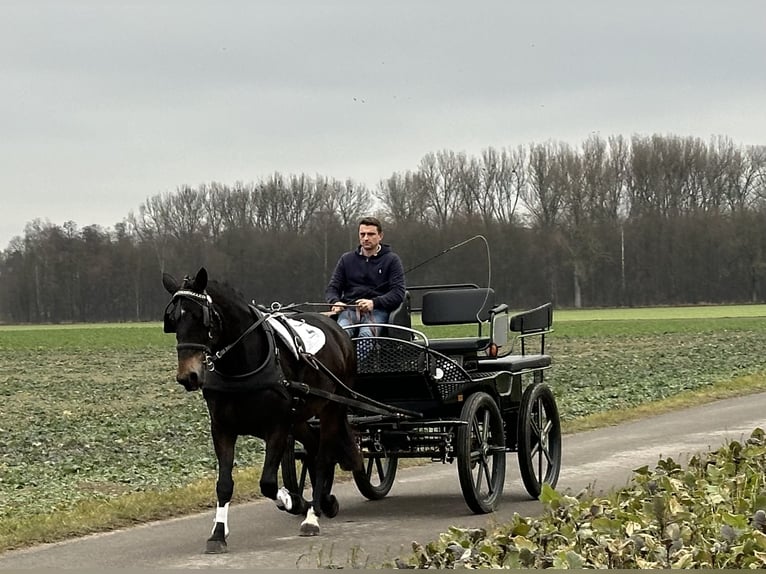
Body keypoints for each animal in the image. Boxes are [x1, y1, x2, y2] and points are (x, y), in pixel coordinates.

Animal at [161, 268, 364, 552]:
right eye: (173, 321)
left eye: (202, 319)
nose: (187, 376)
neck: (241, 365)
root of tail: (339, 331)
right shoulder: (222, 428)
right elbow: (224, 485)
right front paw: (218, 534)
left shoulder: (277, 427)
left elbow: (267, 483)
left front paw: (291, 500)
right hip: (300, 419)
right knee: (313, 451)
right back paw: (323, 501)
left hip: (331, 409)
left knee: (324, 457)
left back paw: (311, 516)